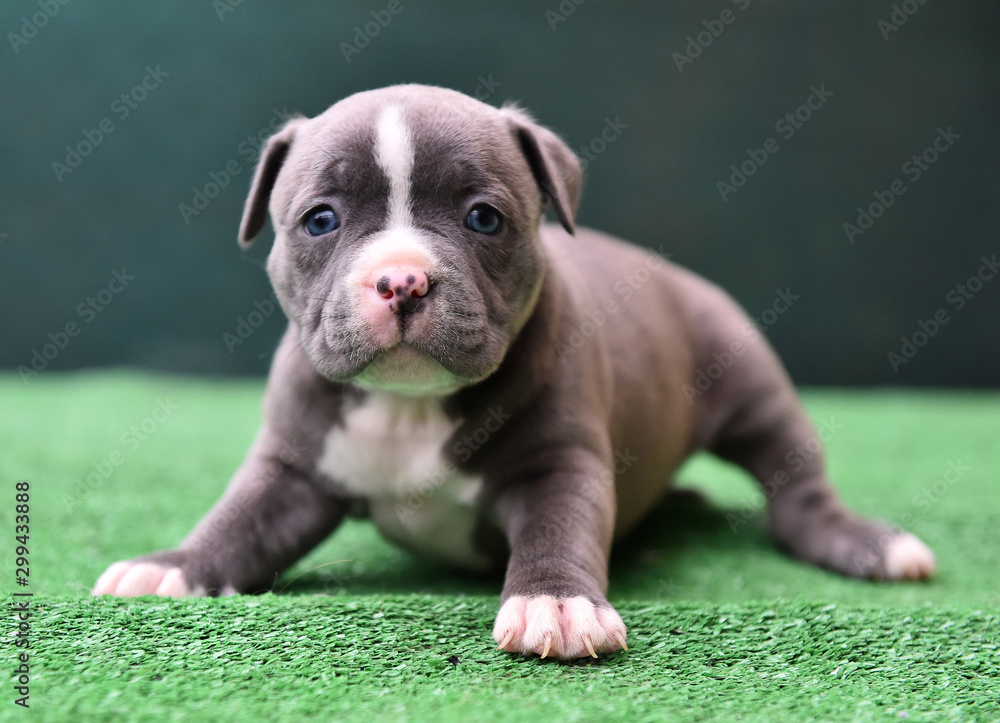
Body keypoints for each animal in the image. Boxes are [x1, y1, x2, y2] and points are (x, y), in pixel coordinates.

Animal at [95, 85, 936, 660]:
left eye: (483, 218)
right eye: (321, 219)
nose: (401, 279)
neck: (408, 406)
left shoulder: (558, 463)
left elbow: (559, 526)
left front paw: (555, 603)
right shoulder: (294, 465)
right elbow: (240, 518)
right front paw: (173, 567)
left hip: (752, 385)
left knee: (797, 486)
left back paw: (867, 543)